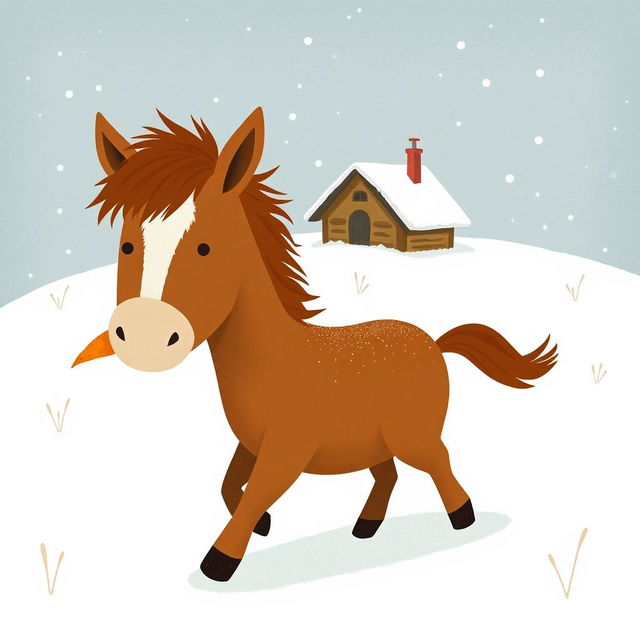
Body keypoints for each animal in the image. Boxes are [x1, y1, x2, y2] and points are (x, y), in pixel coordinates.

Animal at [74, 107, 557, 582]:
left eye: (206, 248)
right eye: (127, 245)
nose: (144, 337)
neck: (270, 359)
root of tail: (435, 343)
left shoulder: (288, 447)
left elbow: (257, 492)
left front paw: (221, 560)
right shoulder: (251, 443)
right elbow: (230, 485)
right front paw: (263, 525)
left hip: (411, 436)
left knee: (439, 462)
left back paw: (463, 518)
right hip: (374, 440)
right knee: (388, 476)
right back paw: (366, 526)